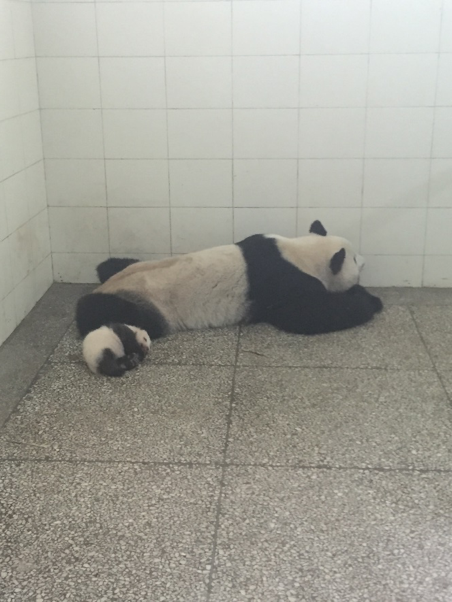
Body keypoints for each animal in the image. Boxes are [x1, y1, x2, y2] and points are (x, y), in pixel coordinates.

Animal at [77, 221, 382, 338]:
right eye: (355, 260)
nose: (366, 261)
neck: (298, 253)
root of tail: (109, 286)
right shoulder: (282, 284)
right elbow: (309, 315)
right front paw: (369, 300)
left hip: (124, 269)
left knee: (109, 264)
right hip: (144, 304)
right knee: (98, 310)